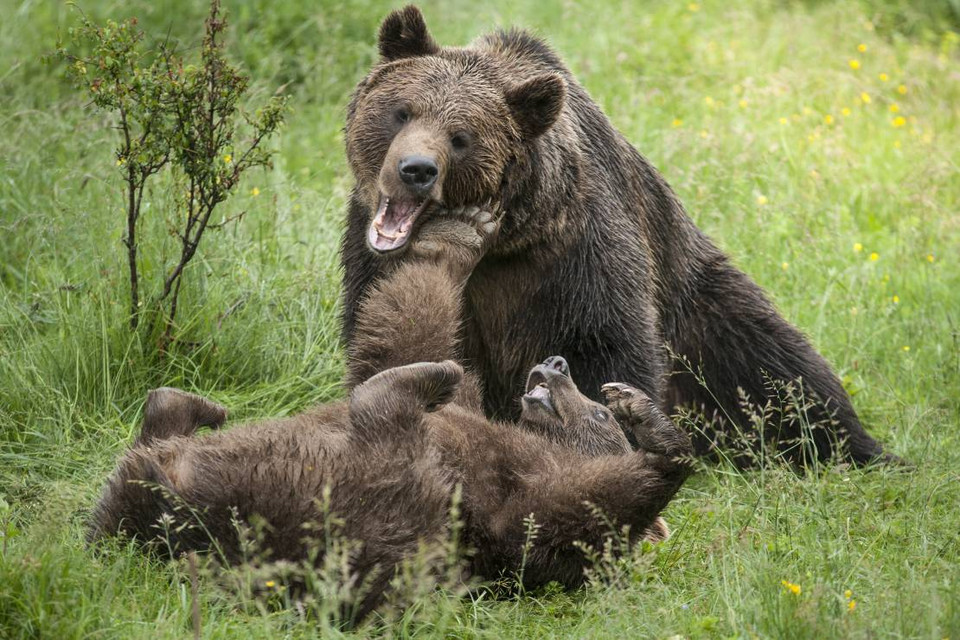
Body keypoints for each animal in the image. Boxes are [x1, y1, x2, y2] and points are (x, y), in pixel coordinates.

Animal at [342, 3, 896, 464]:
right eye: (402, 111)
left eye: (462, 137)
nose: (416, 169)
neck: (507, 240)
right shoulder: (371, 253)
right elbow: (394, 345)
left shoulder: (574, 251)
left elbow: (604, 340)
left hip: (696, 307)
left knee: (773, 367)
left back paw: (859, 451)